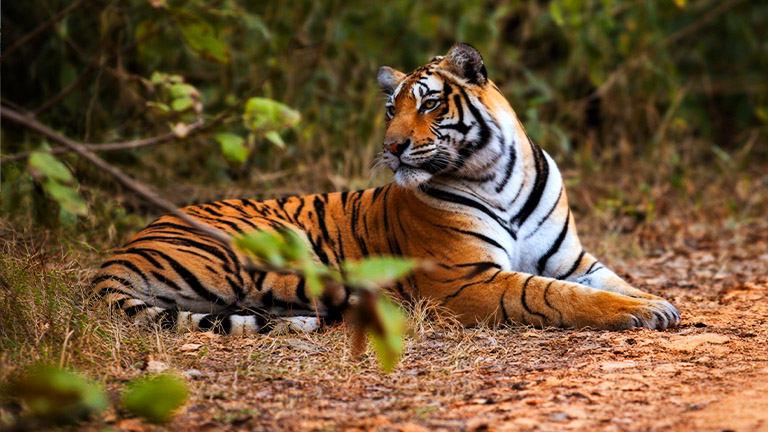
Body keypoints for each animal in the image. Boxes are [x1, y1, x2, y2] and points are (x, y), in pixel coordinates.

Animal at [93, 43, 680, 335]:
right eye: (389, 110)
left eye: (429, 104)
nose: (392, 147)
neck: (498, 176)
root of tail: (122, 250)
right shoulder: (465, 279)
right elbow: (552, 295)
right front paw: (638, 312)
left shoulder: (572, 259)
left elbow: (613, 281)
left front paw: (658, 301)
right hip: (273, 249)